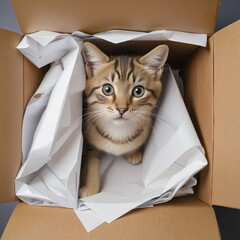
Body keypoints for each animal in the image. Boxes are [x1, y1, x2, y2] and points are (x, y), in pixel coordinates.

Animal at [79, 42, 169, 198]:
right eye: (107, 89)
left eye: (138, 91)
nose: (122, 109)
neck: (118, 133)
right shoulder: (89, 144)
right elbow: (91, 160)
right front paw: (90, 188)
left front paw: (134, 153)